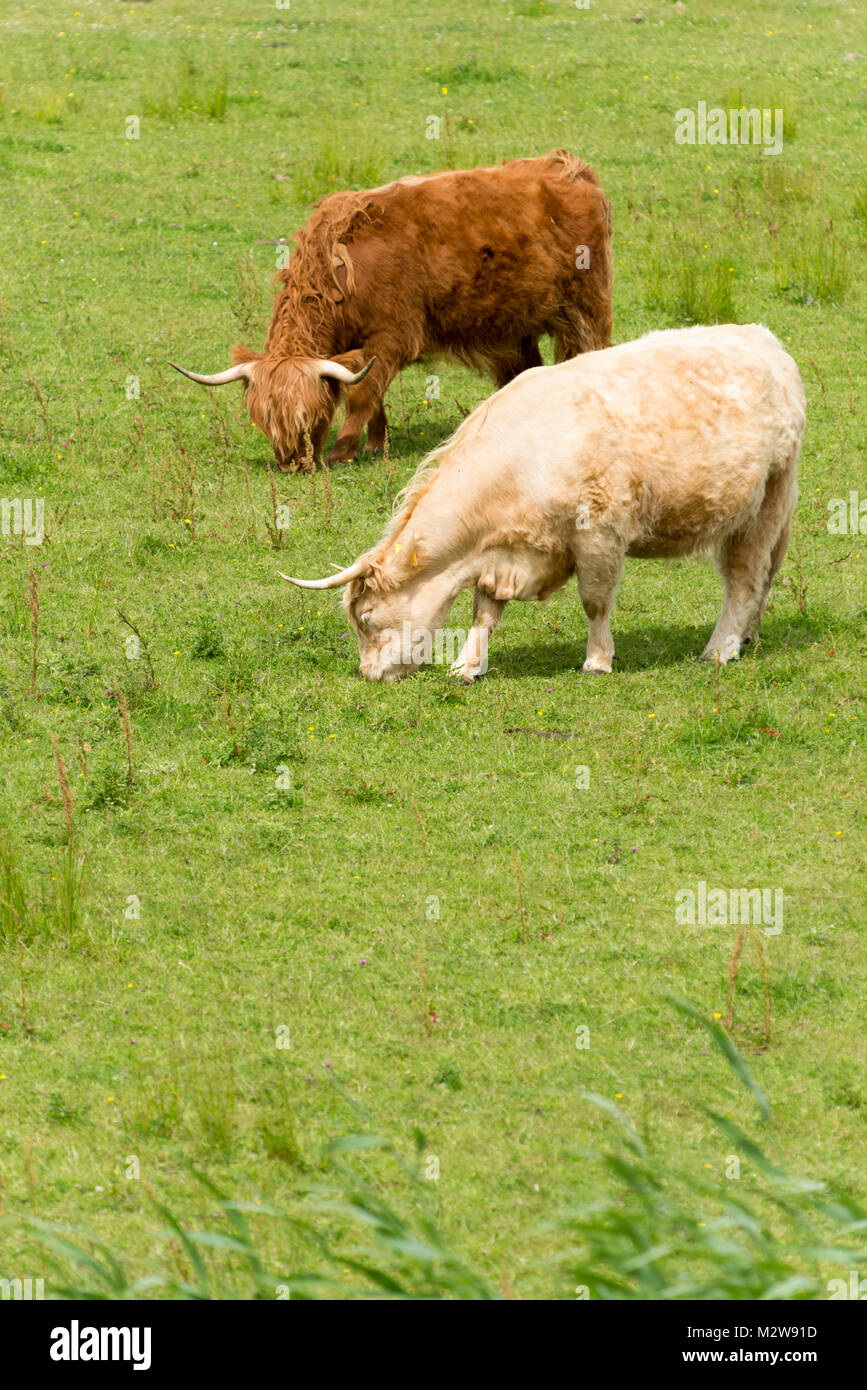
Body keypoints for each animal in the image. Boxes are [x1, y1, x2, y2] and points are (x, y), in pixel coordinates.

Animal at [284, 322, 805, 681]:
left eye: (366, 617)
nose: (368, 674)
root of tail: (764, 341)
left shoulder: (599, 537)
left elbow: (595, 602)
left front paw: (597, 660)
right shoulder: (501, 553)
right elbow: (485, 612)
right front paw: (466, 667)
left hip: (764, 508)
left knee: (744, 579)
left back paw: (720, 648)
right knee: (761, 578)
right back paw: (748, 636)